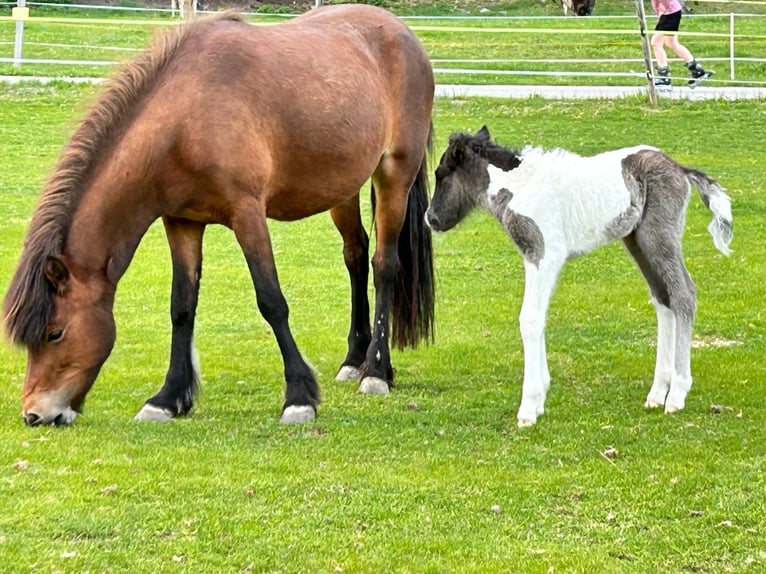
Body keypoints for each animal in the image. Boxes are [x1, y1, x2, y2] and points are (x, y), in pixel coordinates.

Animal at [3, 6, 436, 426]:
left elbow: (271, 301)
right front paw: (168, 399)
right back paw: (354, 359)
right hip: (341, 188)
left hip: (394, 174)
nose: (35, 414)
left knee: (384, 265)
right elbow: (182, 306)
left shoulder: (247, 214)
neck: (184, 118)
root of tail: (403, 33)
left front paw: (299, 399)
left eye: (54, 333)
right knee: (355, 256)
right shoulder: (181, 222)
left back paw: (376, 371)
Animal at [425, 126, 732, 427]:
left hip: (659, 237)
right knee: (662, 299)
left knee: (683, 295)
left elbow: (530, 319)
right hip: (638, 241)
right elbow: (539, 317)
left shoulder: (544, 255)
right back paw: (657, 393)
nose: (431, 219)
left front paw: (529, 408)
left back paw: (677, 393)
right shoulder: (538, 259)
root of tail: (679, 168)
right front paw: (540, 398)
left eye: (442, 174)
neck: (520, 188)